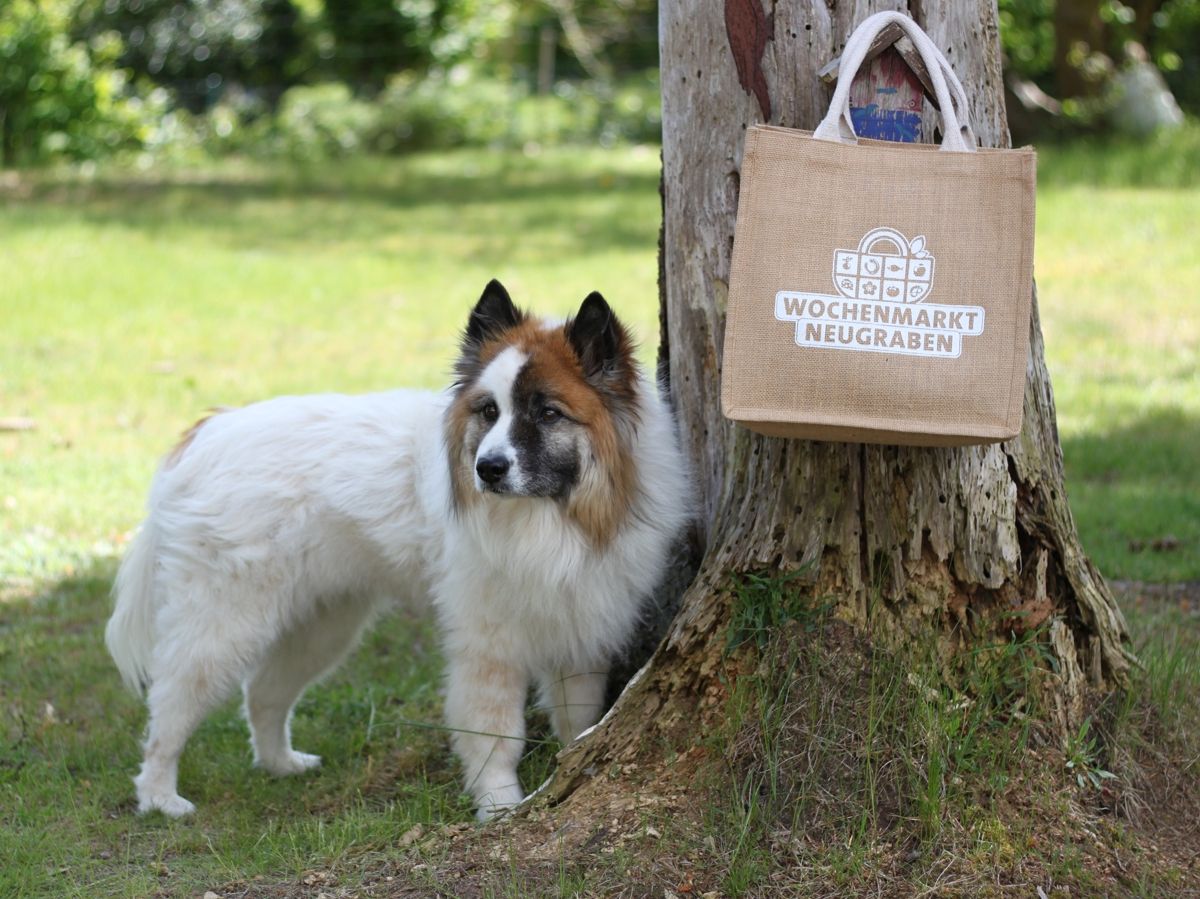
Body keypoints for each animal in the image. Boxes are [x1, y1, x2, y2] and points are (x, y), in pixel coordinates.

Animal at [110, 282, 696, 820]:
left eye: (548, 414)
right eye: (488, 411)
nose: (488, 468)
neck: (552, 516)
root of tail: (206, 432)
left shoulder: (578, 634)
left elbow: (579, 718)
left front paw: (573, 762)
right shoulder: (489, 647)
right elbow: (495, 736)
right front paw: (500, 807)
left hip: (322, 624)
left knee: (264, 693)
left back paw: (282, 764)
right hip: (222, 624)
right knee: (170, 707)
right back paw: (160, 797)